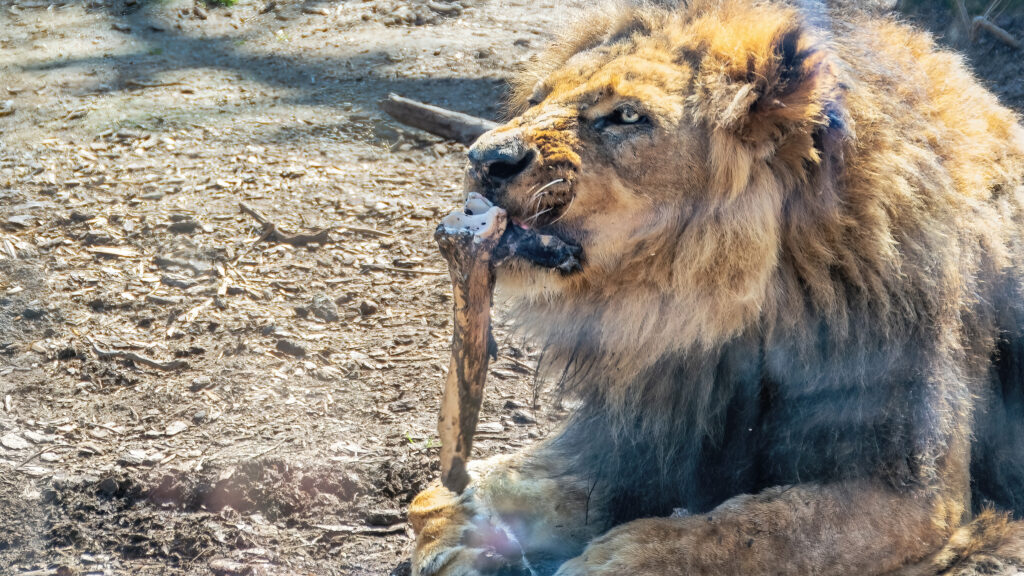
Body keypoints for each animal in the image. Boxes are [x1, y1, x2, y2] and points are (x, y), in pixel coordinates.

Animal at [407, 1, 1024, 574]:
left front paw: (621, 559)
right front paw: (462, 519)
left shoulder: (911, 493)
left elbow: (757, 531)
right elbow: (496, 487)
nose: (484, 158)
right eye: (536, 99)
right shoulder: (647, 427)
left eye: (626, 116)